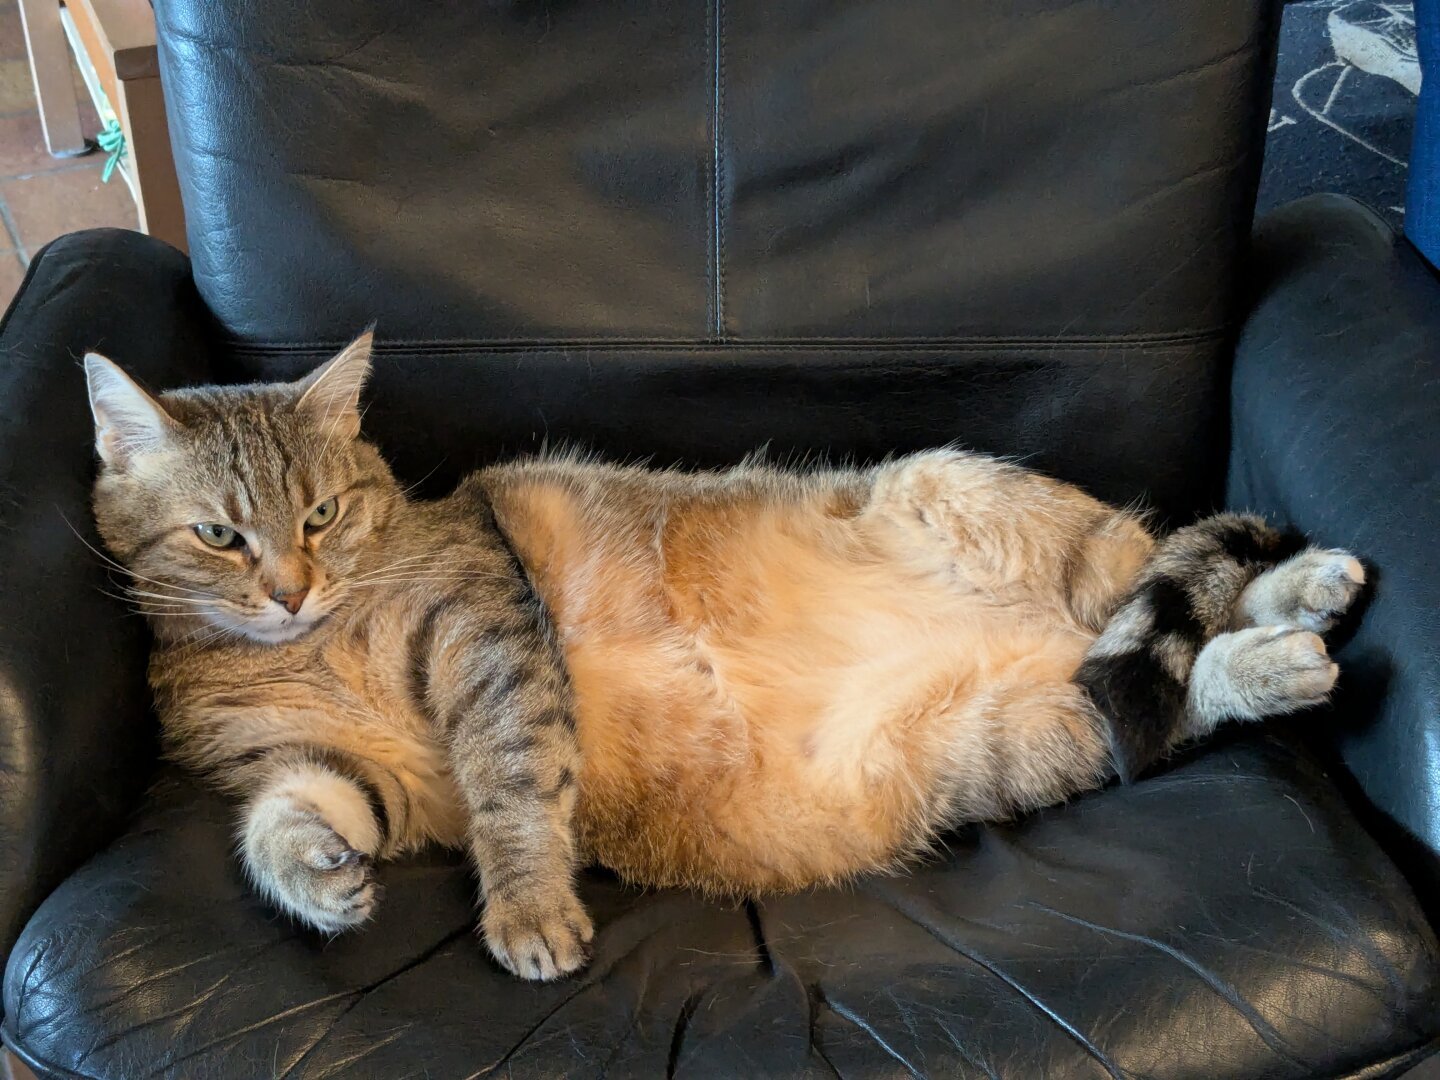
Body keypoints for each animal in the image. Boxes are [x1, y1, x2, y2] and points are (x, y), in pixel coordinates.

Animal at [84, 334, 1365, 984]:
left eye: (323, 516)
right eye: (219, 536)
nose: (288, 589)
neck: (311, 647)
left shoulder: (488, 636)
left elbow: (514, 790)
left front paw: (529, 909)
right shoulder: (353, 780)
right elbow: (288, 813)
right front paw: (317, 878)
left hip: (995, 507)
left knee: (1166, 576)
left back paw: (1303, 590)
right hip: (1022, 730)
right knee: (1169, 678)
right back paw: (1280, 649)